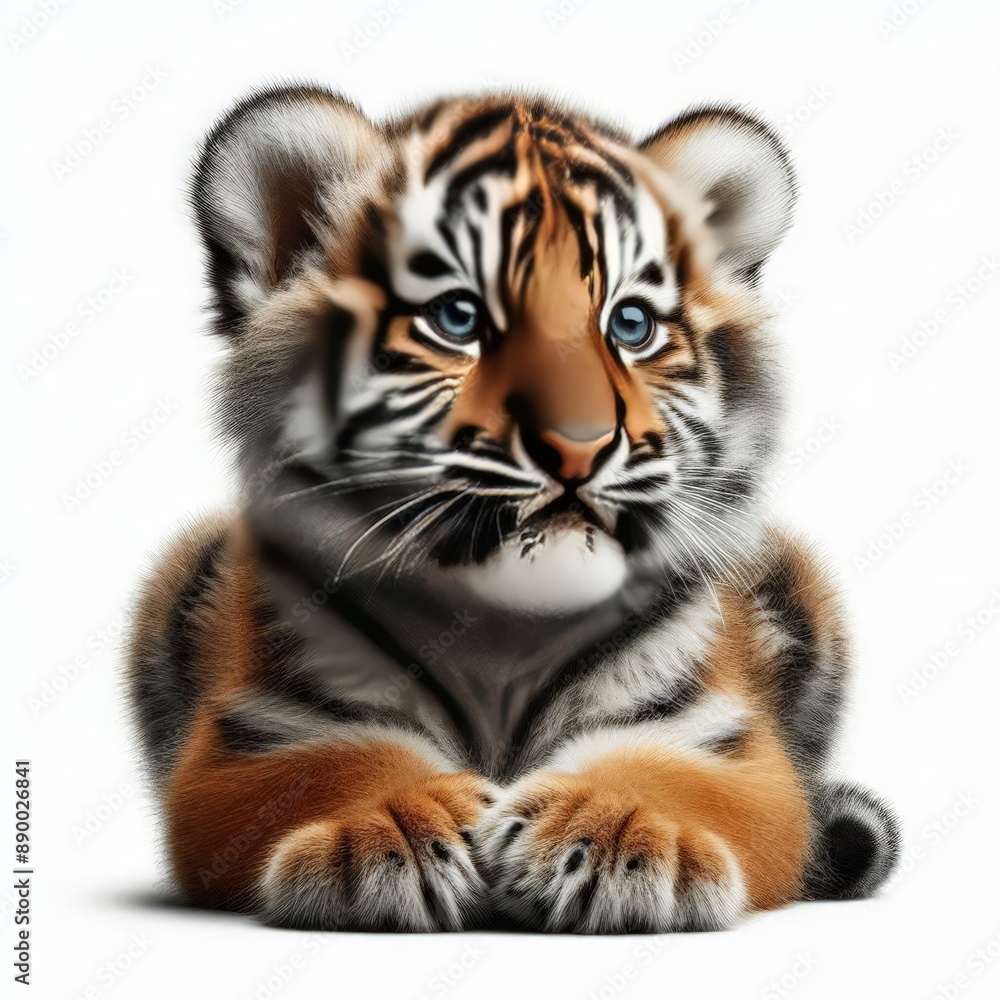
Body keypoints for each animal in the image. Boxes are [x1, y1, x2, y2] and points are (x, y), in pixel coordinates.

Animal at [126, 85, 900, 933]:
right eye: (458, 318)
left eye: (630, 325)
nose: (580, 445)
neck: (501, 635)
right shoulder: (256, 734)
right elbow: (344, 759)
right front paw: (391, 829)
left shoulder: (719, 738)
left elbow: (667, 775)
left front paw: (620, 839)